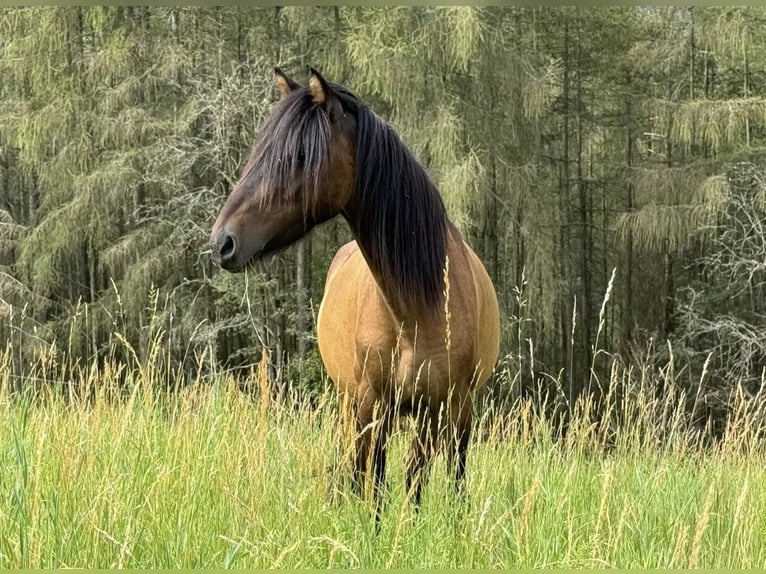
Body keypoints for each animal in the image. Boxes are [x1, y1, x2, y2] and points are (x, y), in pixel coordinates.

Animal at [210, 66, 500, 516]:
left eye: (299, 156)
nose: (223, 242)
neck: (414, 307)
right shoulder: (369, 404)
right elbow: (375, 484)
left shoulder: (438, 409)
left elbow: (414, 485)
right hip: (351, 404)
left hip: (459, 414)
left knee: (457, 470)